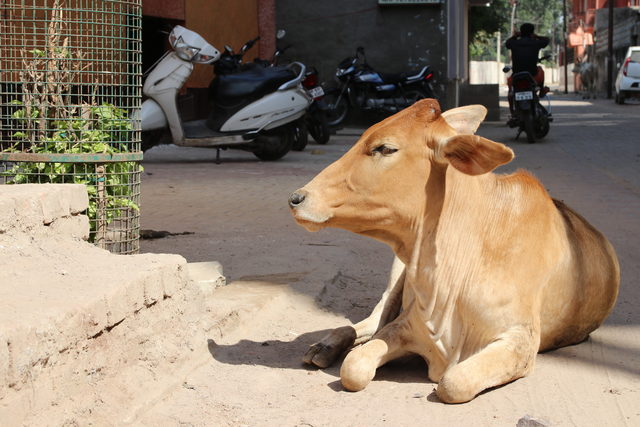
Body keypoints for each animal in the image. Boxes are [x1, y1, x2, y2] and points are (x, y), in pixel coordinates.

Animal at [288, 99, 619, 403]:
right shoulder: (406, 325)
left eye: (385, 148)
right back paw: (322, 347)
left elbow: (452, 383)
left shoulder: (519, 341)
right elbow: (354, 367)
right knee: (369, 322)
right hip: (397, 272)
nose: (297, 198)